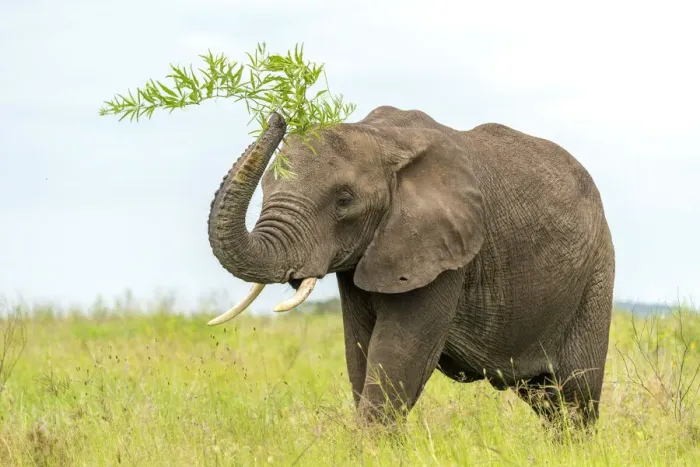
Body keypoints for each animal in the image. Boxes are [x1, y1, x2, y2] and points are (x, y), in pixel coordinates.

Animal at [206, 106, 615, 429]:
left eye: (344, 200)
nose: (278, 115)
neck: (381, 138)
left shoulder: (443, 254)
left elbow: (398, 354)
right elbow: (360, 352)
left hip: (596, 275)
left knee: (576, 396)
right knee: (547, 400)